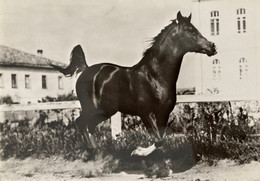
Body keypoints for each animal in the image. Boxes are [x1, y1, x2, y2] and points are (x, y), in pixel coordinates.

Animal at [49, 11, 216, 157]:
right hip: (93, 108)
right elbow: (158, 140)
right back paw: (91, 150)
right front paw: (138, 152)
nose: (212, 47)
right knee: (80, 122)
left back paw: (97, 152)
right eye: (190, 30)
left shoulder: (163, 113)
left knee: (89, 126)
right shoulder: (145, 112)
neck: (154, 76)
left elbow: (161, 139)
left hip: (105, 111)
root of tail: (86, 69)